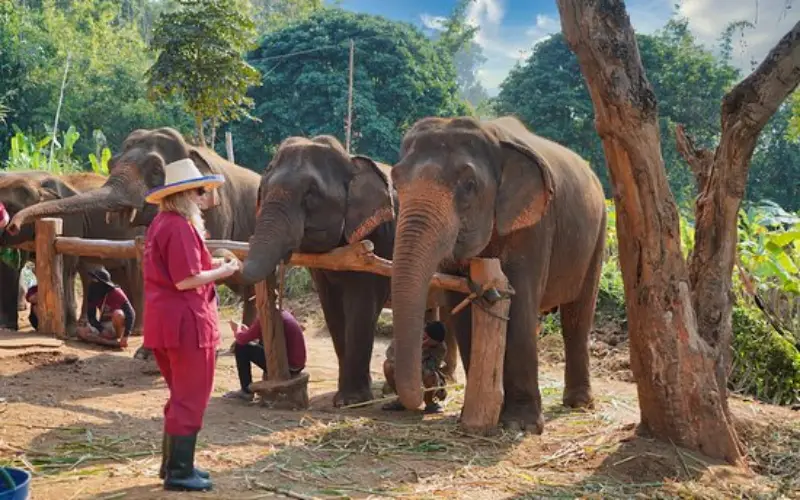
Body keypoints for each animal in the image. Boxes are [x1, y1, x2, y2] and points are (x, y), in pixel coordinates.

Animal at [0, 172, 145, 334]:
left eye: (10, 207)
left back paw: (136, 330)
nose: (12, 225)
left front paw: (68, 331)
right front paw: (7, 327)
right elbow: (10, 264)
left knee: (135, 271)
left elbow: (66, 264)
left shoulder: (68, 219)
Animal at [240, 135, 397, 407]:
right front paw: (345, 398)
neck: (351, 161)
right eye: (262, 190)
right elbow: (331, 307)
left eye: (311, 195)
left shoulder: (378, 238)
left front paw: (351, 401)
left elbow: (361, 305)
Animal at [388, 116, 607, 433]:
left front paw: (520, 425)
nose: (431, 390)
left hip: (598, 234)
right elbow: (461, 312)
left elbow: (520, 304)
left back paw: (578, 404)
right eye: (395, 182)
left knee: (577, 316)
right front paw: (472, 417)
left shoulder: (535, 226)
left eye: (469, 185)